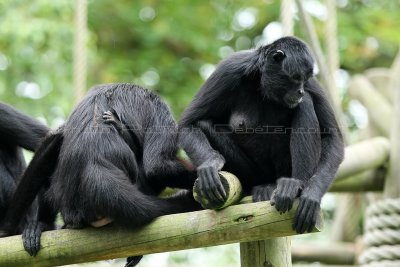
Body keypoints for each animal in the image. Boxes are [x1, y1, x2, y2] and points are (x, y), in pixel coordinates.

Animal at [180, 36, 346, 234]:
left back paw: (295, 186)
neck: (265, 87)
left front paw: (311, 193)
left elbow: (333, 138)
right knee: (204, 123)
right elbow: (188, 124)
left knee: (305, 102)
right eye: (296, 78)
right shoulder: (229, 70)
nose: (300, 90)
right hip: (254, 173)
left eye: (304, 80)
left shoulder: (312, 84)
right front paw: (210, 164)